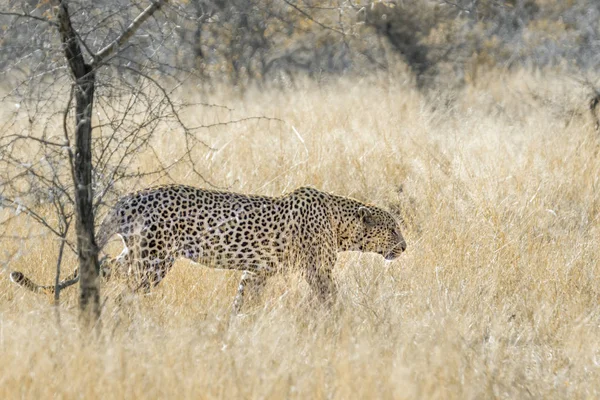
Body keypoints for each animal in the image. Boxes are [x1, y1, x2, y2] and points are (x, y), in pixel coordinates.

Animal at [11, 184, 408, 312]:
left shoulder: (257, 271)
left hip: (138, 253)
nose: (405, 246)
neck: (341, 224)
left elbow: (244, 298)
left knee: (106, 267)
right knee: (126, 289)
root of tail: (131, 197)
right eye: (392, 228)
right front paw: (343, 323)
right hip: (155, 259)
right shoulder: (317, 271)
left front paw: (236, 326)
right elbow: (331, 298)